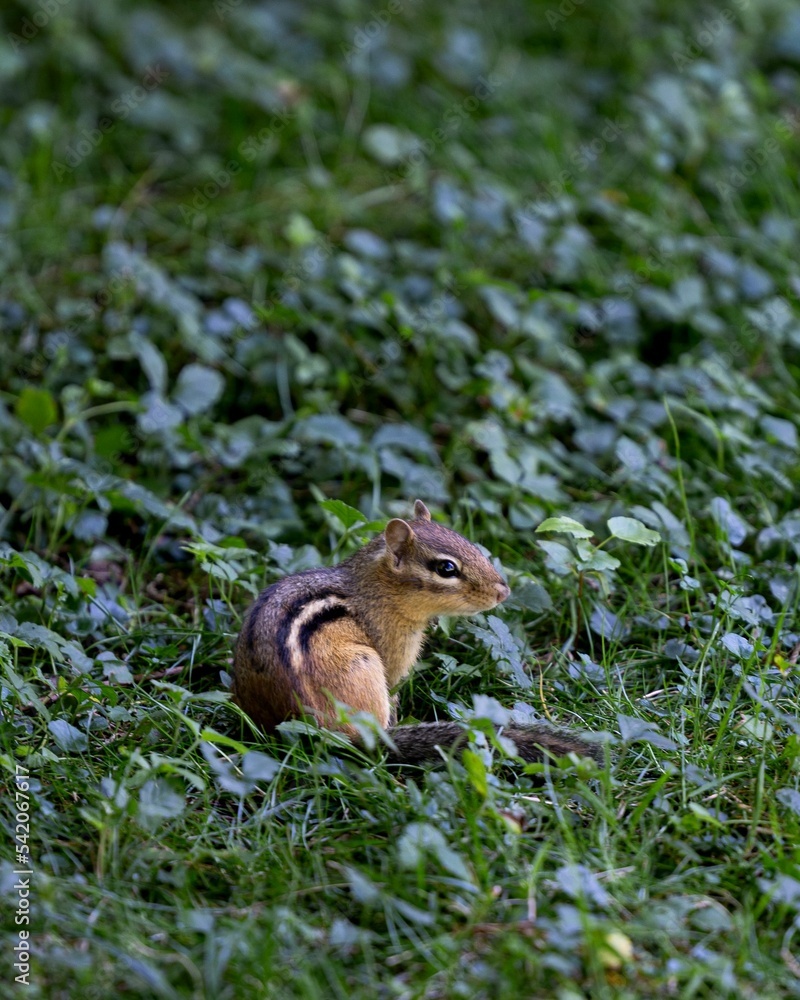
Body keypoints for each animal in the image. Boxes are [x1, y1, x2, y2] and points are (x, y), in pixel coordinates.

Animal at [232, 500, 601, 766]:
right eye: (446, 568)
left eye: (471, 544)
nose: (503, 592)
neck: (374, 589)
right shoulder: (392, 654)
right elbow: (395, 686)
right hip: (364, 665)